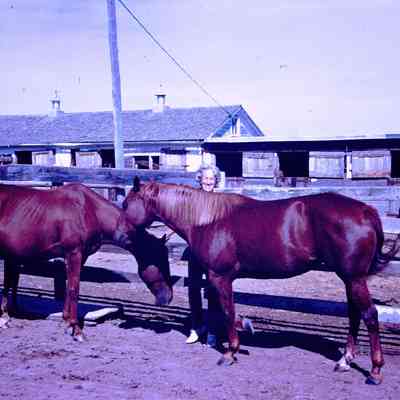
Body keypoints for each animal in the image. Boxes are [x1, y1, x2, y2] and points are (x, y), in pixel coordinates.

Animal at [0, 183, 172, 340]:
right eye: (160, 260)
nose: (168, 298)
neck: (88, 210)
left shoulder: (81, 256)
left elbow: (70, 287)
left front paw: (67, 322)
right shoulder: (74, 254)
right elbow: (74, 289)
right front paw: (76, 330)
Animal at [123, 177, 400, 385]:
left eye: (126, 204)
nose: (125, 232)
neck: (206, 219)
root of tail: (365, 210)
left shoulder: (220, 277)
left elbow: (228, 311)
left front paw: (230, 352)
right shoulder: (217, 279)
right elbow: (225, 311)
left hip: (354, 278)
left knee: (370, 315)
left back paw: (375, 371)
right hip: (348, 278)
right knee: (355, 314)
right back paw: (345, 360)